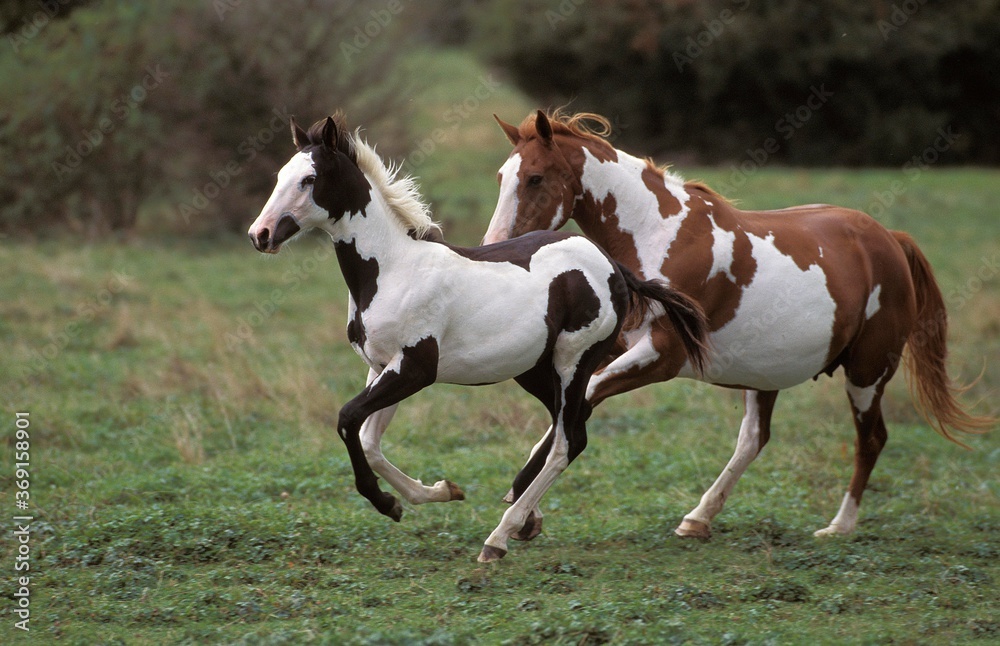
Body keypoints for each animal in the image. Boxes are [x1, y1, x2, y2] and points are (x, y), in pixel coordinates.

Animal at [247, 114, 710, 562]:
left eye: (309, 179)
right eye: (280, 176)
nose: (260, 235)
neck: (391, 270)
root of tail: (612, 266)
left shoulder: (415, 369)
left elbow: (347, 420)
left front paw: (386, 503)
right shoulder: (381, 368)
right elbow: (369, 440)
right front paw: (439, 492)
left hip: (573, 361)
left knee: (568, 441)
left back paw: (499, 538)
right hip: (535, 370)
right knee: (573, 424)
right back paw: (525, 519)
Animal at [483, 109, 992, 540]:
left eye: (534, 178)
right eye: (502, 177)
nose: (494, 247)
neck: (656, 236)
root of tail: (890, 238)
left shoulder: (661, 358)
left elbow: (579, 407)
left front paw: (518, 512)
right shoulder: (610, 347)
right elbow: (567, 411)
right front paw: (527, 511)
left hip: (867, 373)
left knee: (871, 439)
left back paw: (838, 527)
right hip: (767, 371)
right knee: (754, 439)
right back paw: (697, 518)